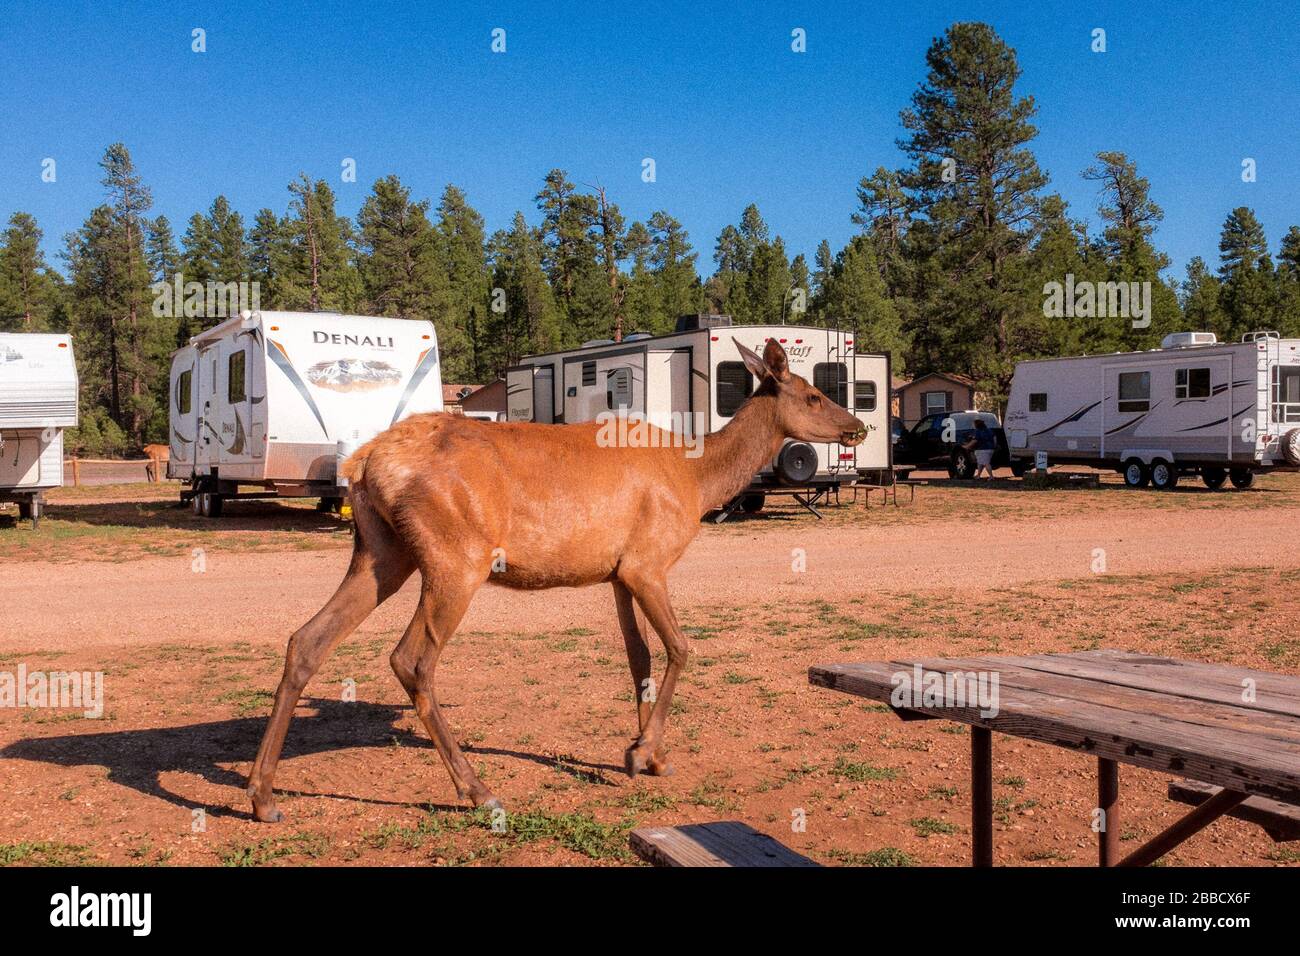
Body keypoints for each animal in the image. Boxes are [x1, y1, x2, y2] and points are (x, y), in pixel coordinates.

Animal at [248, 338, 868, 822]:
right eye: (813, 395)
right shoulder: (648, 562)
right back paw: (477, 790)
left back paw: (261, 795)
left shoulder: (618, 572)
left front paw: (645, 752)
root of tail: (363, 463)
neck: (699, 482)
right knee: (411, 659)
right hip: (454, 559)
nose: (858, 425)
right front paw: (643, 751)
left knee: (306, 639)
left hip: (381, 554)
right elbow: (681, 648)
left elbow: (639, 657)